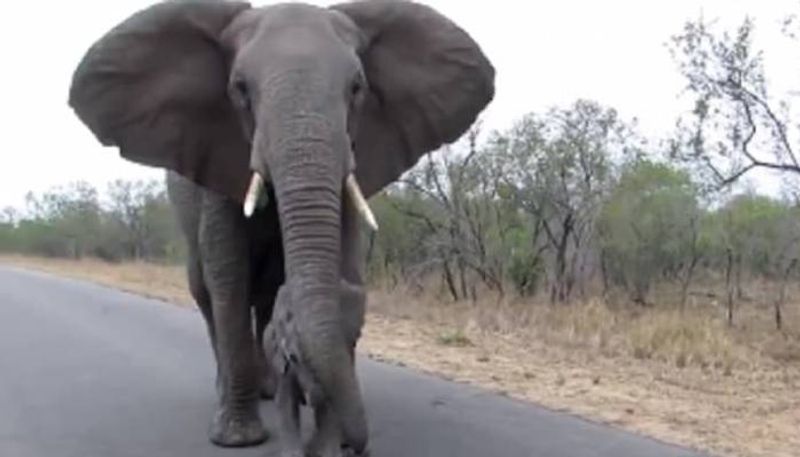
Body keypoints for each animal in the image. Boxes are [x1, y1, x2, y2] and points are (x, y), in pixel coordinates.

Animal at [268, 280, 368, 454]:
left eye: (355, 339)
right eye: (293, 358)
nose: (308, 396)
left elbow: (329, 410)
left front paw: (327, 453)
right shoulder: (281, 361)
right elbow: (286, 403)